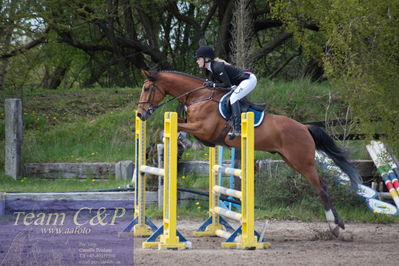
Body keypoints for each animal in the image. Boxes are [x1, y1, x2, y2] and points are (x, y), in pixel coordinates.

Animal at [137, 69, 362, 237]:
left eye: (147, 88)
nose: (140, 114)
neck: (198, 96)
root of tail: (305, 127)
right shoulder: (198, 128)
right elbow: (174, 126)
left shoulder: (203, 129)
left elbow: (176, 129)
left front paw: (186, 144)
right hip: (291, 160)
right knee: (321, 186)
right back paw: (338, 224)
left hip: (302, 162)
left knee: (321, 188)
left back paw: (334, 226)